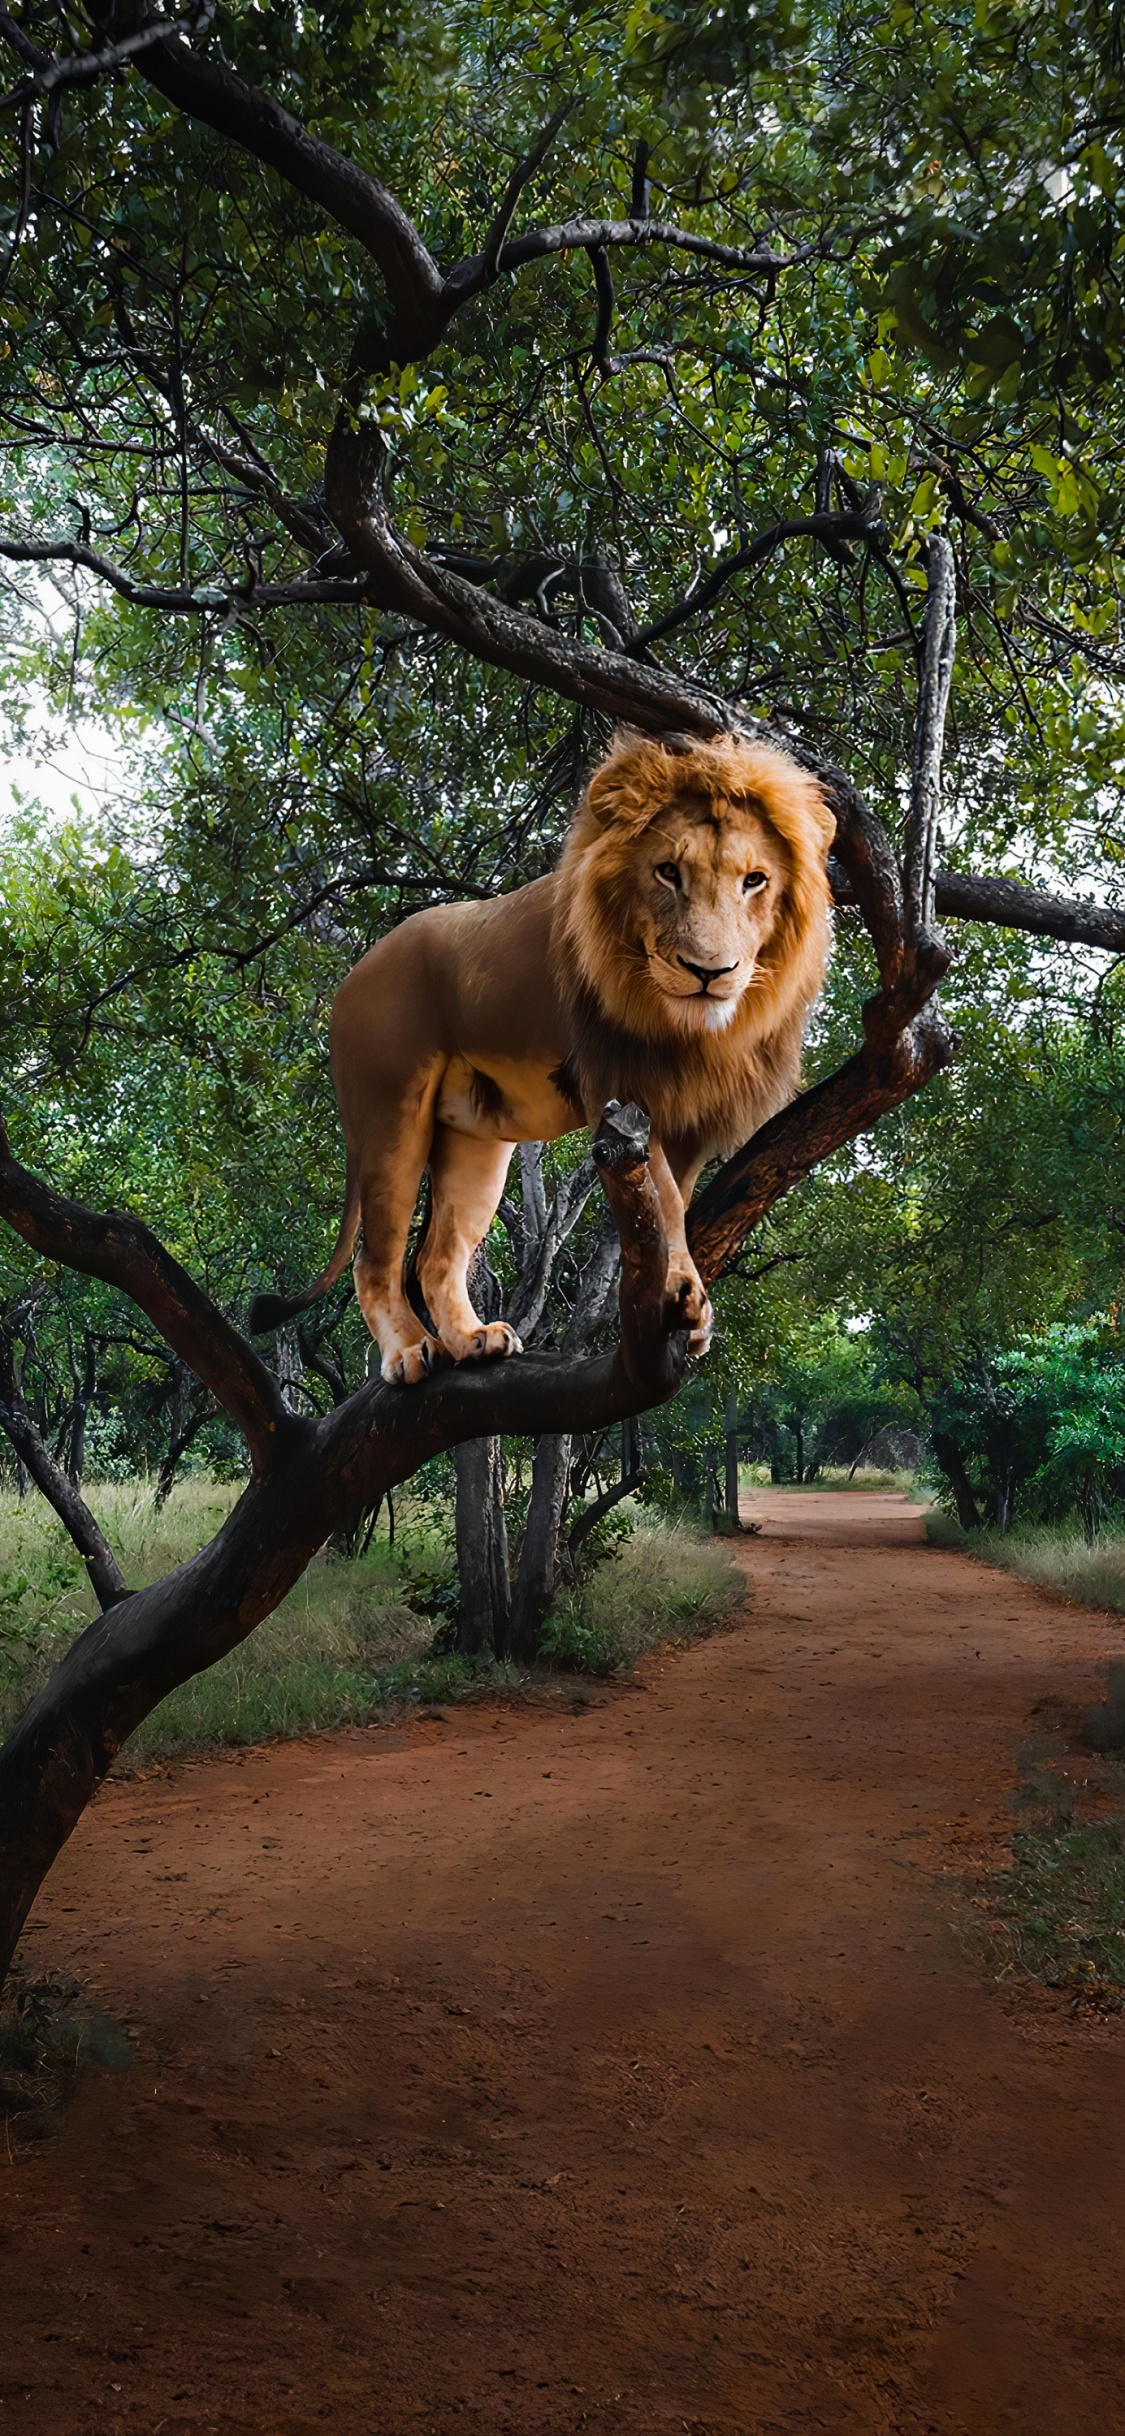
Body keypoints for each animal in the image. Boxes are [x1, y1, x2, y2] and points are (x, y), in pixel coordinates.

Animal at [249, 731, 834, 1383]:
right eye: (668, 873)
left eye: (754, 880)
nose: (710, 972)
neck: (690, 1032)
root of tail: (356, 970)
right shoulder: (621, 1088)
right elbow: (663, 1198)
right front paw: (680, 1292)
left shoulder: (690, 1115)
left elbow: (675, 1206)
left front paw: (689, 1305)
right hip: (388, 1117)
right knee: (374, 1259)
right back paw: (408, 1352)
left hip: (474, 1142)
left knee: (436, 1258)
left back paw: (474, 1339)